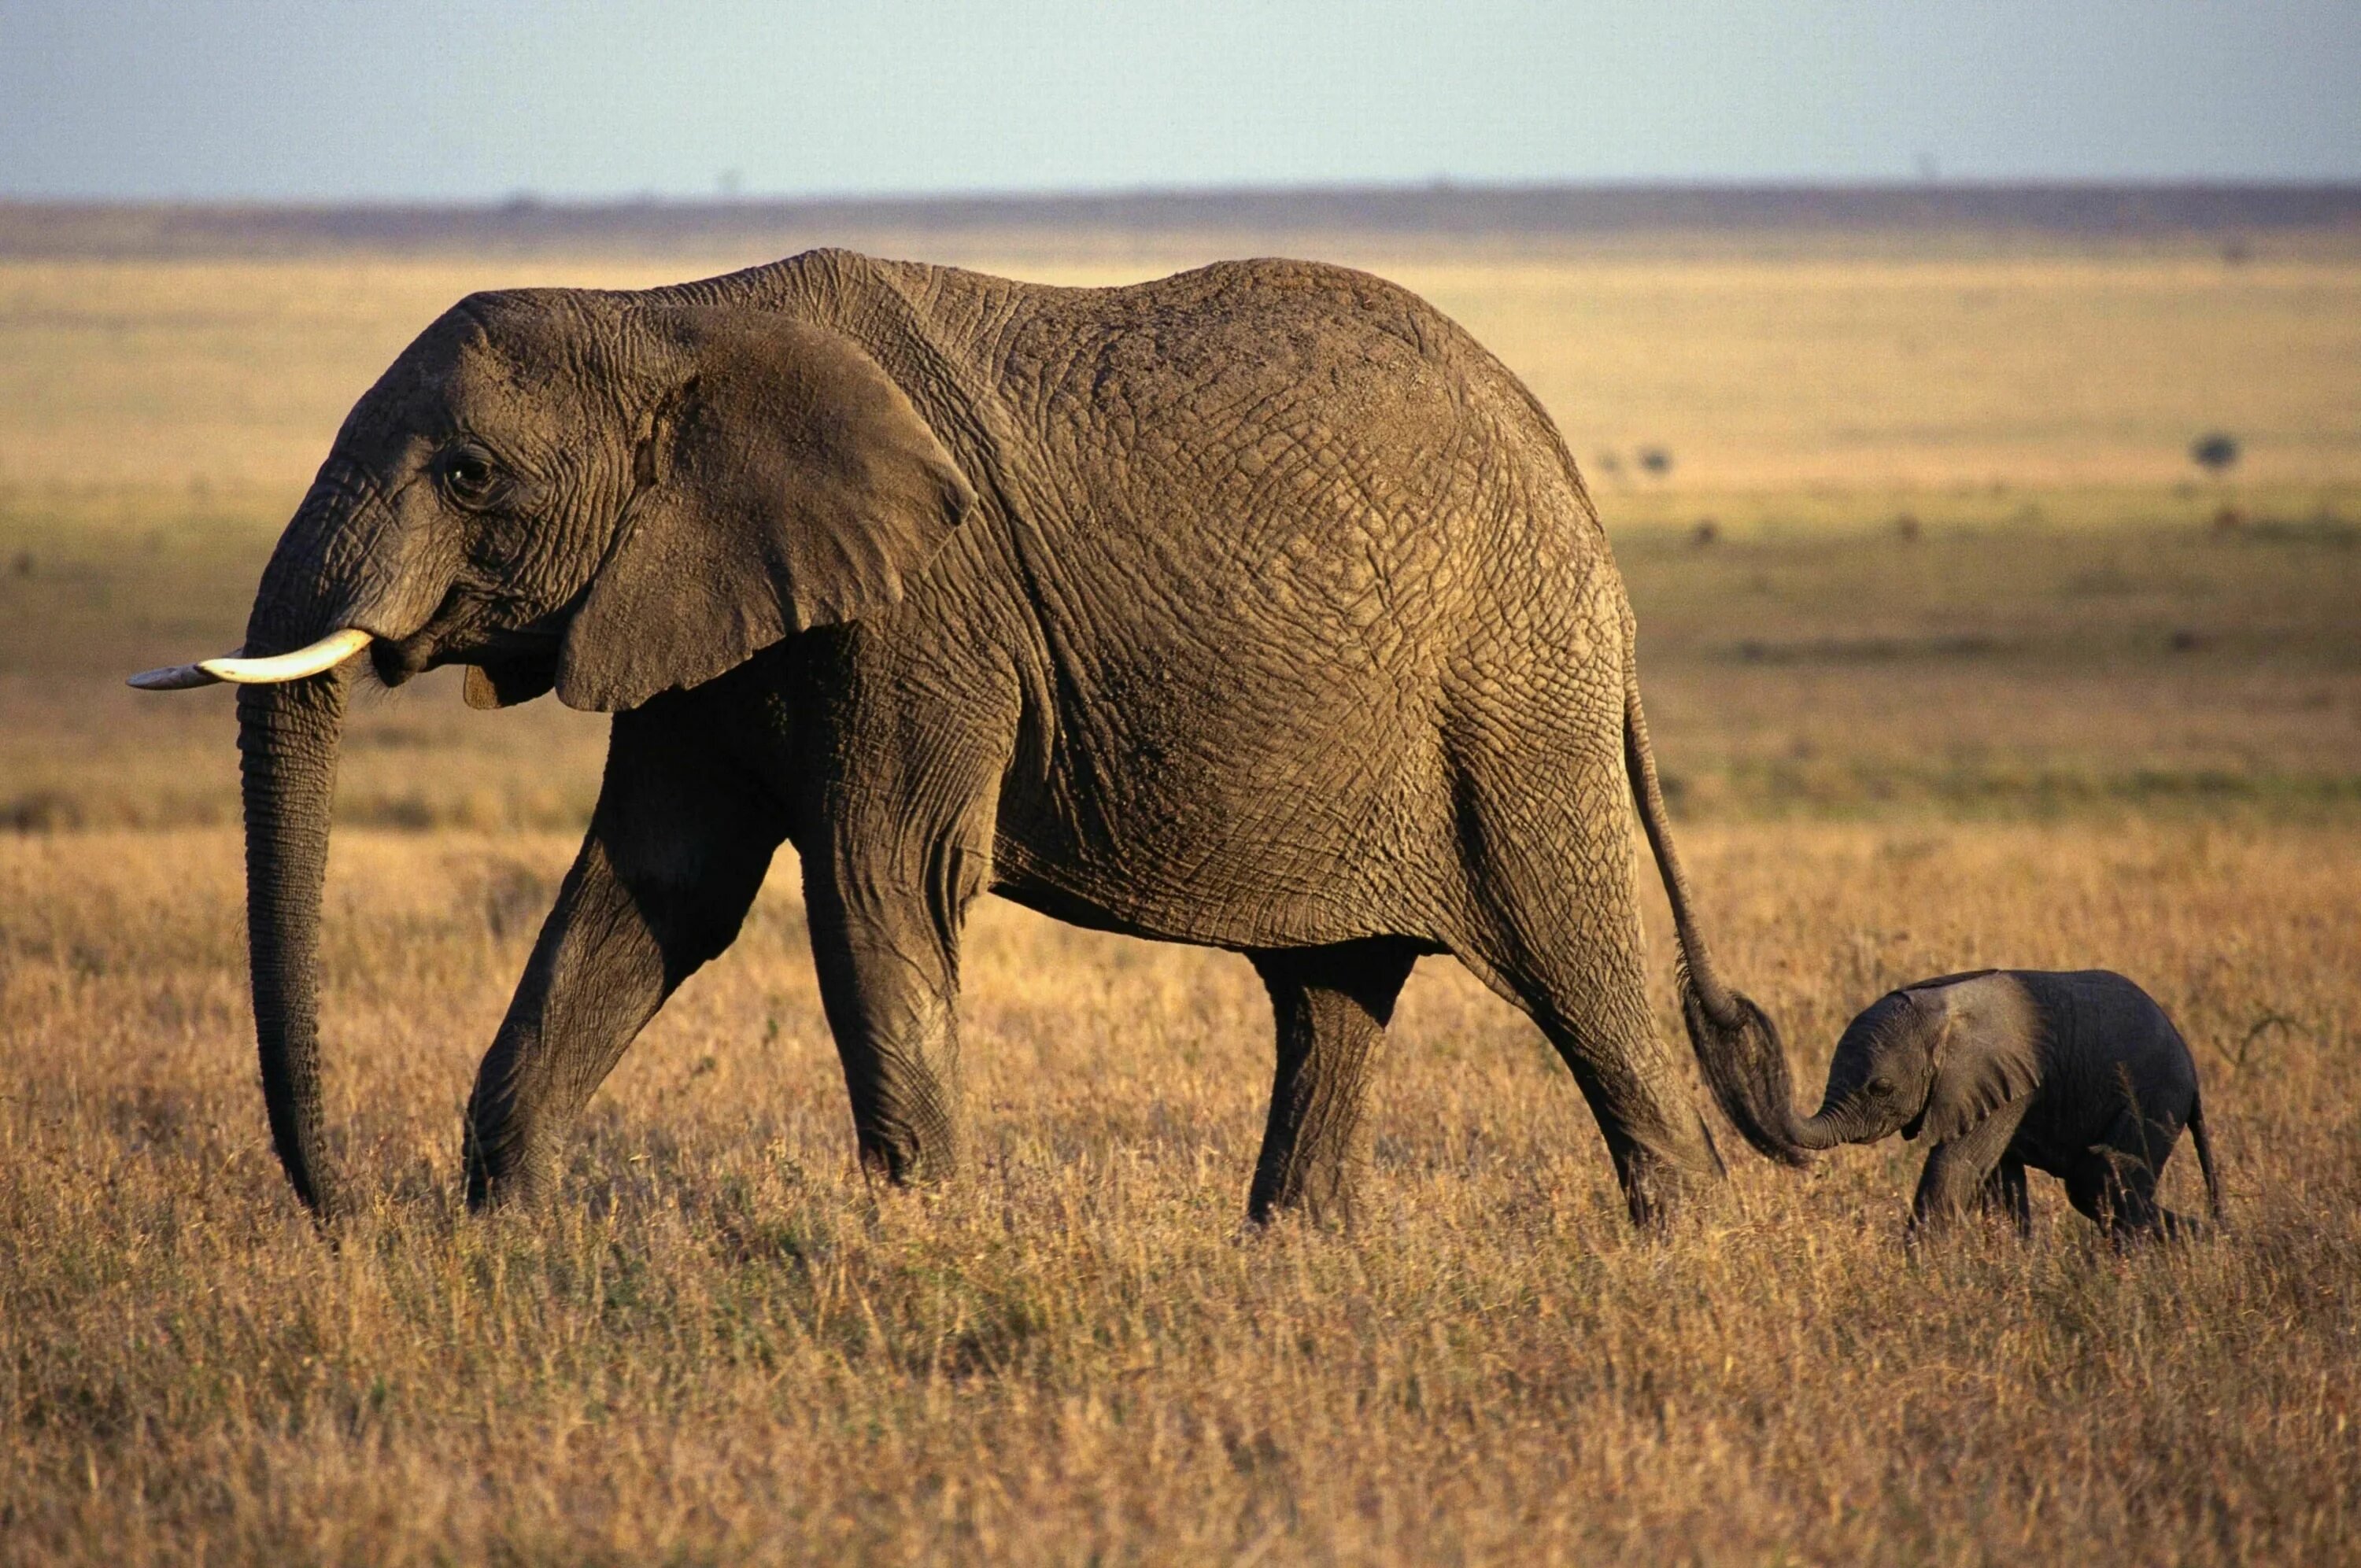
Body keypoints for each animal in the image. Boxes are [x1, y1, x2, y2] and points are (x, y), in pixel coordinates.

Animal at [134, 248, 1804, 1227]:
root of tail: (1575, 488)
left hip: (1513, 702)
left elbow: (875, 883)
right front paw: (512, 1242)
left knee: (1574, 957)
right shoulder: (695, 599)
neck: (667, 310)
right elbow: (653, 891)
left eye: (471, 474)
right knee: (1332, 992)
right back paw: (1293, 1256)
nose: (352, 1208)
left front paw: (916, 1243)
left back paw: (1680, 1251)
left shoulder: (924, 607)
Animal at [1794, 968, 2219, 1237]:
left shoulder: (1997, 1081)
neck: (1939, 1014)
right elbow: (2000, 1181)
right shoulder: (1996, 1091)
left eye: (1880, 1088)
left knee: (2101, 1186)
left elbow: (1954, 1170)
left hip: (2153, 1095)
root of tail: (2189, 1059)